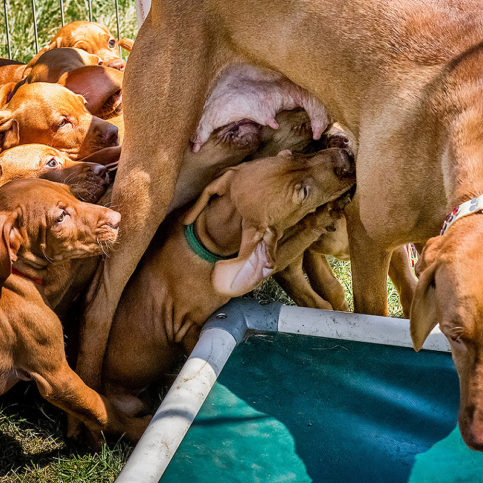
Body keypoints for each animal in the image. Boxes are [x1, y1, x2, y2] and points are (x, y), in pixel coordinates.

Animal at [0, 179, 149, 442]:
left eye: (70, 192)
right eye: (60, 218)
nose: (118, 218)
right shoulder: (56, 377)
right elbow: (102, 410)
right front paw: (140, 429)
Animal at [102, 147, 354, 420]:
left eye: (291, 155)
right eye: (304, 192)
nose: (345, 156)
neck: (209, 241)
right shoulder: (197, 321)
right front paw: (324, 215)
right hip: (126, 403)